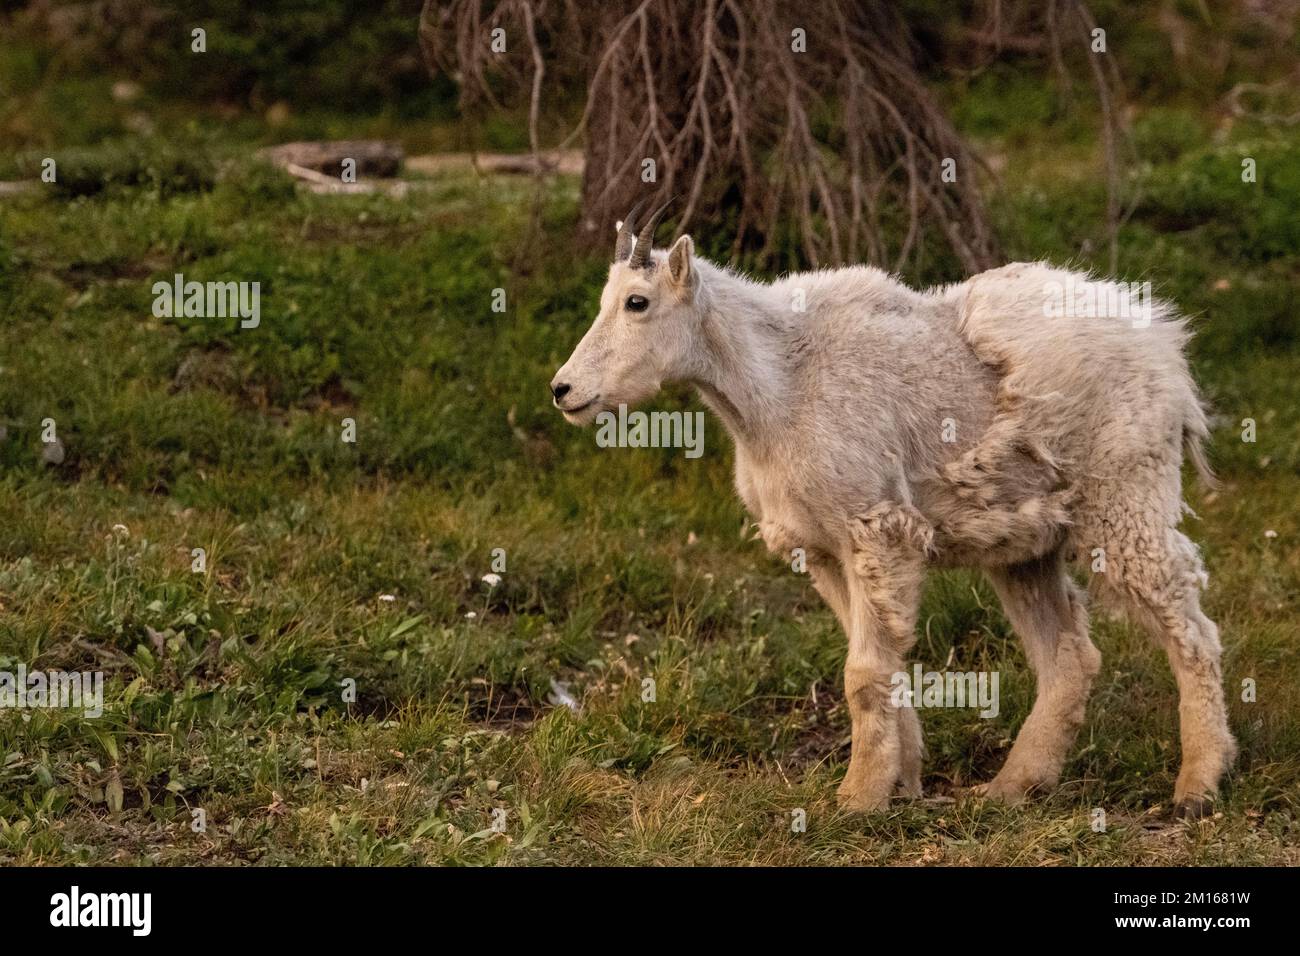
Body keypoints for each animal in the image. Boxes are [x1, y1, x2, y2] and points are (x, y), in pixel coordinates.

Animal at [551, 200, 1237, 816]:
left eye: (637, 303)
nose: (563, 390)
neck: (776, 387)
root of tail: (1168, 349)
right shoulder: (823, 548)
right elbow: (874, 662)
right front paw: (900, 783)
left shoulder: (877, 529)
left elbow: (862, 672)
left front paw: (857, 799)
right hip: (1027, 540)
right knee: (1069, 655)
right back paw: (1014, 787)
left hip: (1127, 498)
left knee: (1190, 625)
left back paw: (1198, 785)